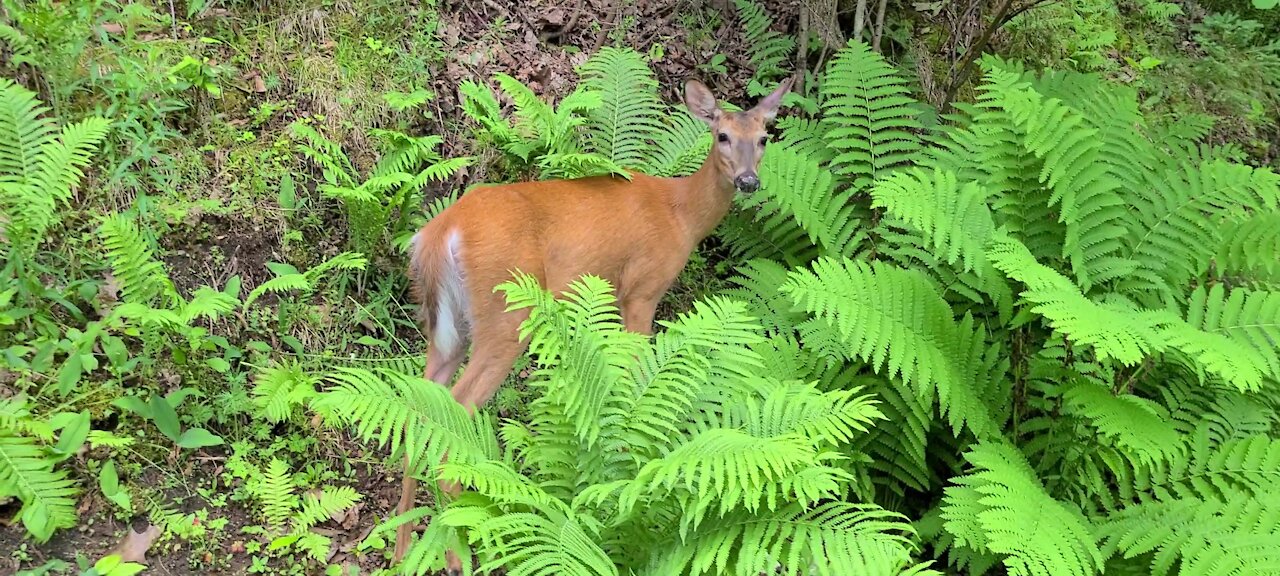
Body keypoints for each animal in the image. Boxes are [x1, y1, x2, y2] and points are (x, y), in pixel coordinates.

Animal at [391, 73, 788, 570]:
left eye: (764, 137)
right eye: (722, 136)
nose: (748, 180)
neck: (680, 213)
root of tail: (441, 232)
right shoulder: (642, 289)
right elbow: (636, 374)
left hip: (446, 327)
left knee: (416, 410)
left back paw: (400, 553)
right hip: (505, 314)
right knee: (454, 413)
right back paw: (460, 557)